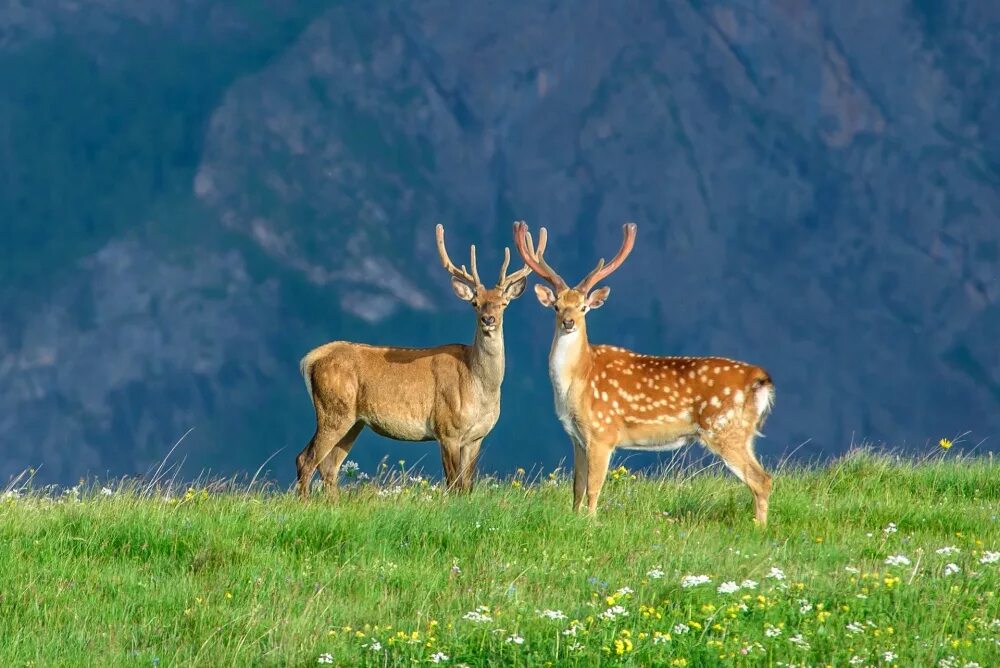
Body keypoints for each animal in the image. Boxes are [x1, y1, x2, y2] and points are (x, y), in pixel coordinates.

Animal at [296, 224, 544, 496]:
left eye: (503, 303)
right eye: (475, 303)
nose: (488, 319)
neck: (479, 387)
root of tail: (309, 359)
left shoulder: (476, 437)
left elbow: (467, 485)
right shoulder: (446, 429)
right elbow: (453, 484)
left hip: (353, 421)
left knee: (329, 465)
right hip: (333, 411)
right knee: (306, 459)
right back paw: (305, 502)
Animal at [512, 222, 776, 524]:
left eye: (583, 307)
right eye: (556, 306)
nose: (568, 322)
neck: (577, 383)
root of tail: (760, 379)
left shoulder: (603, 432)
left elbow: (593, 487)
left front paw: (590, 524)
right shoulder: (577, 437)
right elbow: (577, 487)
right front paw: (575, 519)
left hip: (725, 428)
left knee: (761, 479)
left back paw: (759, 527)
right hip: (744, 433)